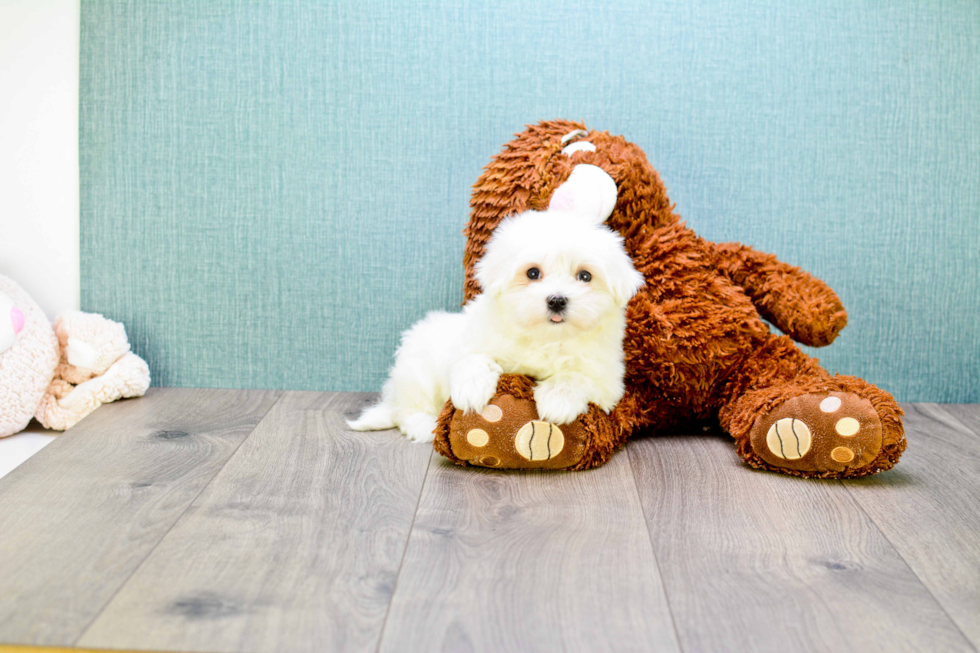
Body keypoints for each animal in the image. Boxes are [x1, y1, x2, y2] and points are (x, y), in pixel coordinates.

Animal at [346, 162, 644, 444]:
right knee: (408, 410)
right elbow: (473, 359)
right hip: (415, 371)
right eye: (532, 273)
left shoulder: (608, 378)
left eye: (584, 276)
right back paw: (424, 426)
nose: (557, 300)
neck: (546, 338)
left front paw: (557, 400)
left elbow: (577, 376)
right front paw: (472, 390)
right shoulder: (472, 341)